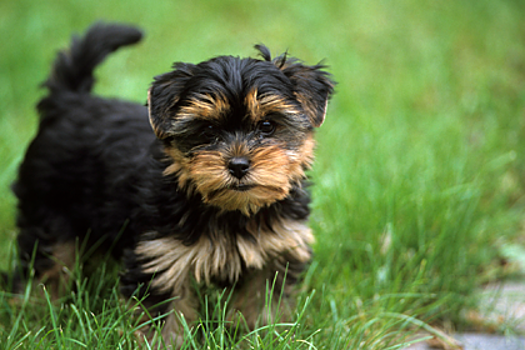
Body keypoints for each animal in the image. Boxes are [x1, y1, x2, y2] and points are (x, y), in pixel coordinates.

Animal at [10, 22, 334, 348]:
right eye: (208, 130)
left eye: (267, 126)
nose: (238, 165)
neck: (231, 210)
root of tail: (69, 101)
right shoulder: (161, 256)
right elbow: (164, 315)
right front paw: (166, 342)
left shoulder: (275, 251)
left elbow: (261, 304)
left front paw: (259, 336)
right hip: (48, 207)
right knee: (47, 263)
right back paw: (34, 314)